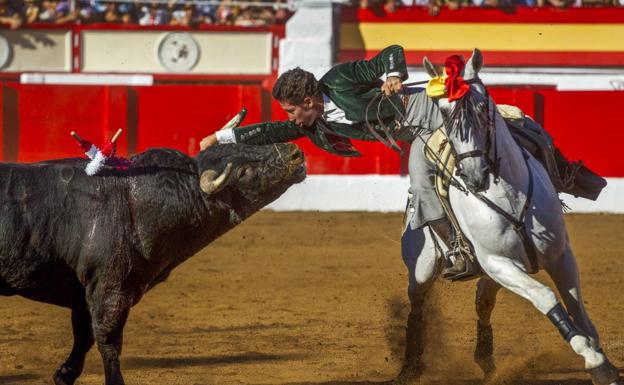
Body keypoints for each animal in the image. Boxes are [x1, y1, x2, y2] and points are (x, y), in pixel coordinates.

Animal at [0, 142, 304, 384]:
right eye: (244, 172)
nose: (295, 152)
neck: (138, 204)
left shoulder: (85, 290)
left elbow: (84, 336)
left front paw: (64, 375)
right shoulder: (112, 286)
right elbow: (108, 338)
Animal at [400, 48, 620, 384]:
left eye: (481, 106)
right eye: (444, 112)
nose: (473, 175)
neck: (507, 194)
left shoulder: (559, 254)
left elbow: (576, 306)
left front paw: (604, 363)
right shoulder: (498, 262)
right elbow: (546, 297)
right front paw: (593, 359)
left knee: (483, 299)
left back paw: (486, 360)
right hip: (424, 265)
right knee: (417, 302)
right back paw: (410, 366)